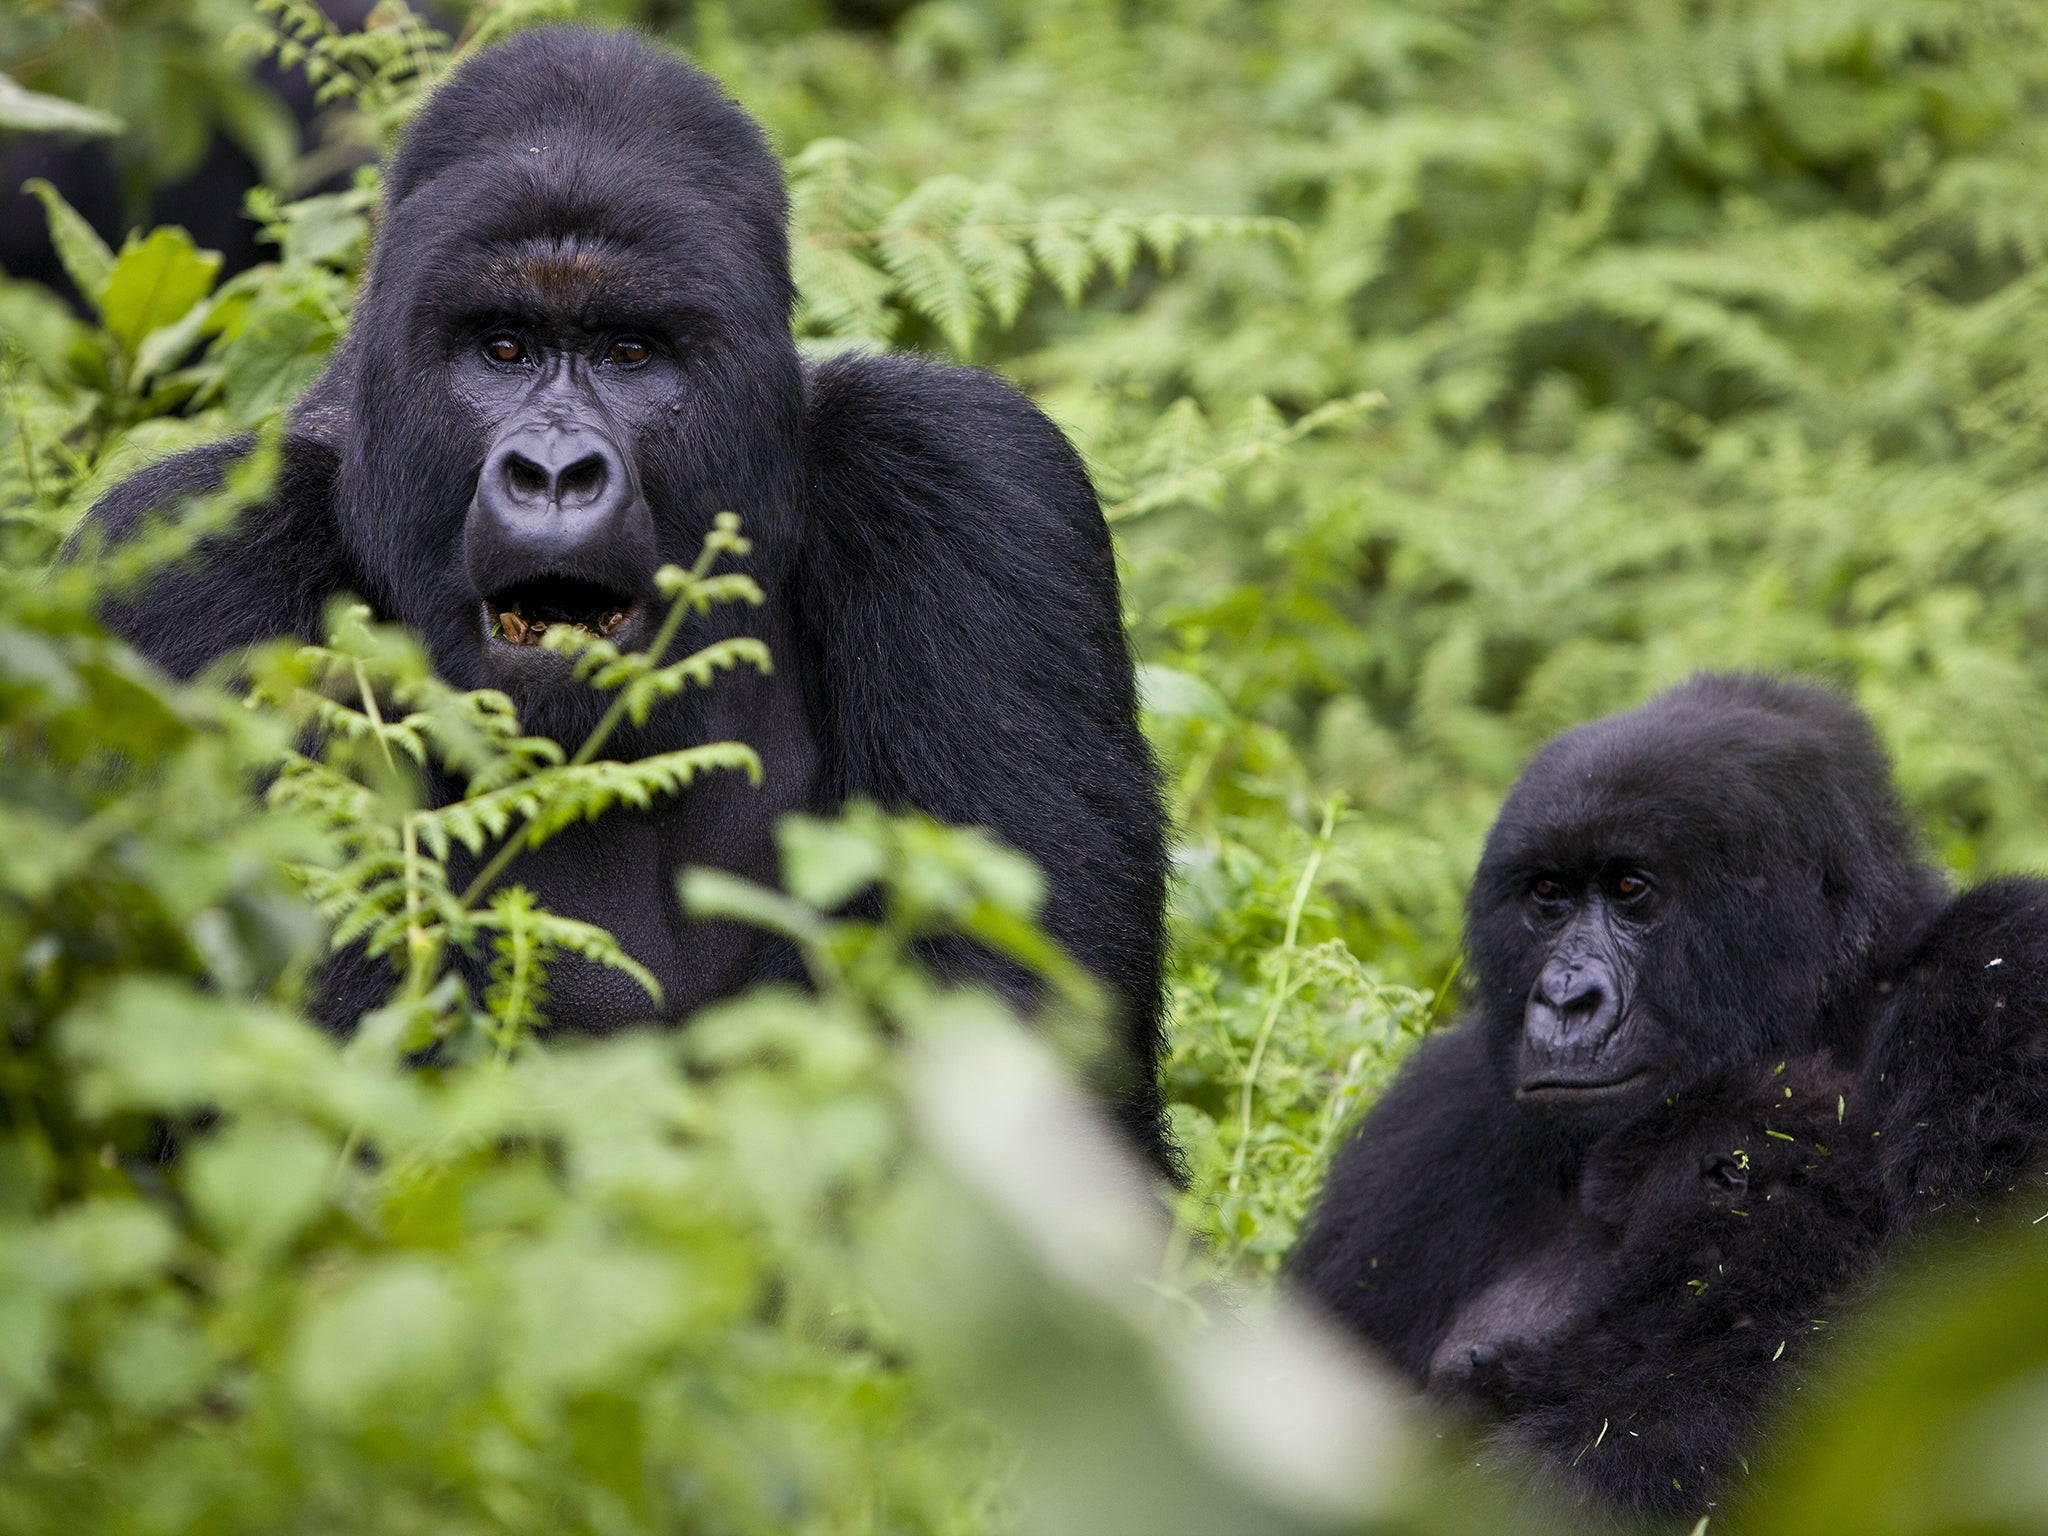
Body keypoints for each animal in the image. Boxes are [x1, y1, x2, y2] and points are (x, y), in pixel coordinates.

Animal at [1294, 679, 2048, 1523]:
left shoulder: (2005, 974)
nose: (1565, 999)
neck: (1828, 1006)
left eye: (1630, 890)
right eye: (1549, 896)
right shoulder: (1429, 1126)